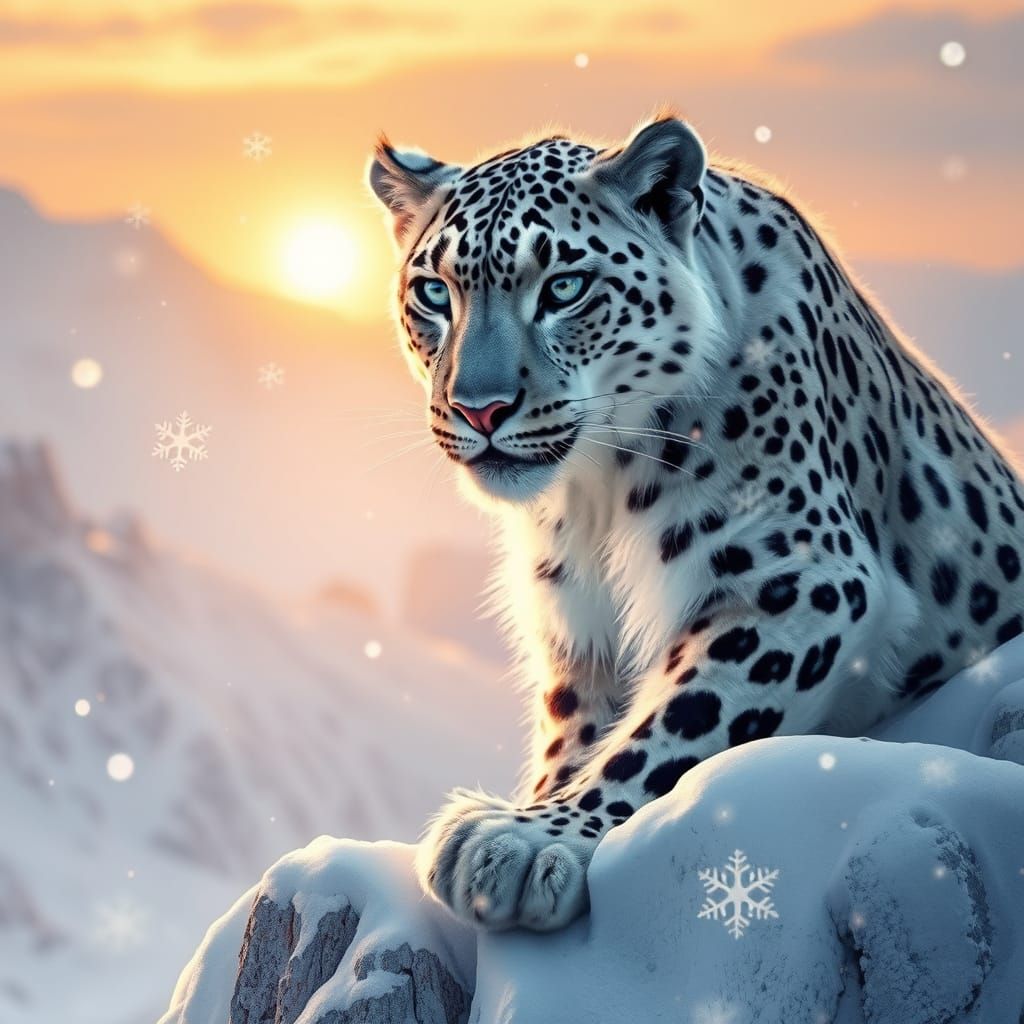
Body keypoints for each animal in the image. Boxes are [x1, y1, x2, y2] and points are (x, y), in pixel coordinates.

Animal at [367, 113, 1024, 932]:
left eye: (565, 286)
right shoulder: (577, 627)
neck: (593, 495)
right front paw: (533, 811)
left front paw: (523, 842)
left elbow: (678, 725)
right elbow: (580, 729)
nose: (477, 409)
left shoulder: (798, 579)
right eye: (433, 292)